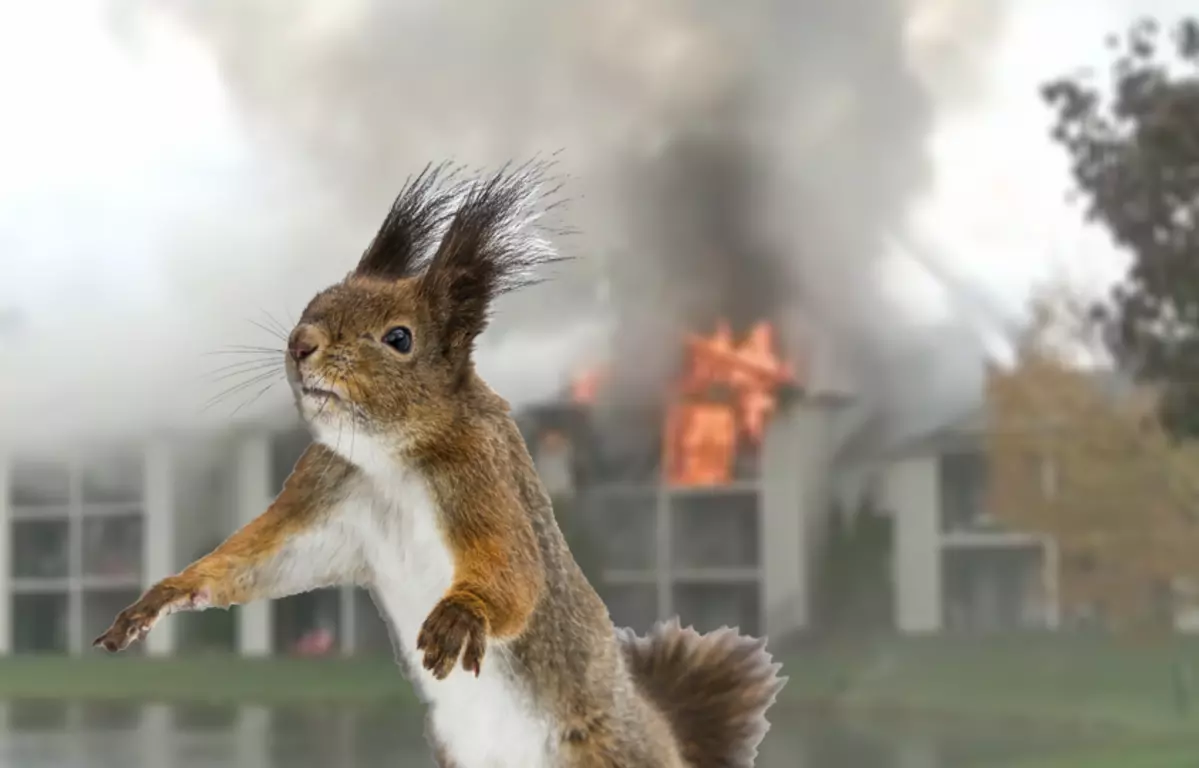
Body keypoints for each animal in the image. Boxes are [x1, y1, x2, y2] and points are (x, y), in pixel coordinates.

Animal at [93, 160, 785, 767]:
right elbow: (261, 561)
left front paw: (462, 615)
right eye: (314, 302)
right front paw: (161, 596)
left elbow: (516, 571)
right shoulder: (327, 494)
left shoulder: (481, 475)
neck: (388, 459)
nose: (299, 345)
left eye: (399, 338)